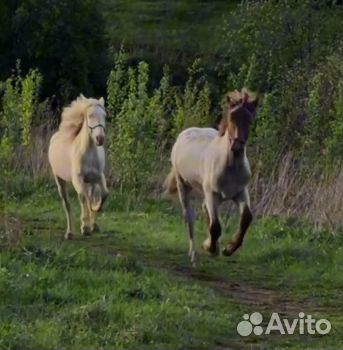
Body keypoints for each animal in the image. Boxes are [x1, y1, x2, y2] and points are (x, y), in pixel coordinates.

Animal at [47, 94, 108, 239]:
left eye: (104, 115)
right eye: (90, 115)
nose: (100, 138)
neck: (89, 153)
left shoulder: (98, 177)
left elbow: (104, 194)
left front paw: (94, 212)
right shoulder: (78, 179)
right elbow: (82, 197)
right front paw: (84, 227)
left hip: (90, 182)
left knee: (90, 196)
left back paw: (93, 223)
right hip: (59, 179)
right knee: (67, 204)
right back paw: (69, 233)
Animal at [165, 89, 260, 264]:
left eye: (250, 120)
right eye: (232, 118)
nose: (237, 146)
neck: (230, 166)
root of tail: (185, 133)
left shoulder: (240, 192)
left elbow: (246, 218)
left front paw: (227, 249)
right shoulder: (212, 194)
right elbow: (215, 226)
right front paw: (209, 247)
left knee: (204, 210)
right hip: (184, 186)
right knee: (189, 217)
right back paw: (194, 255)